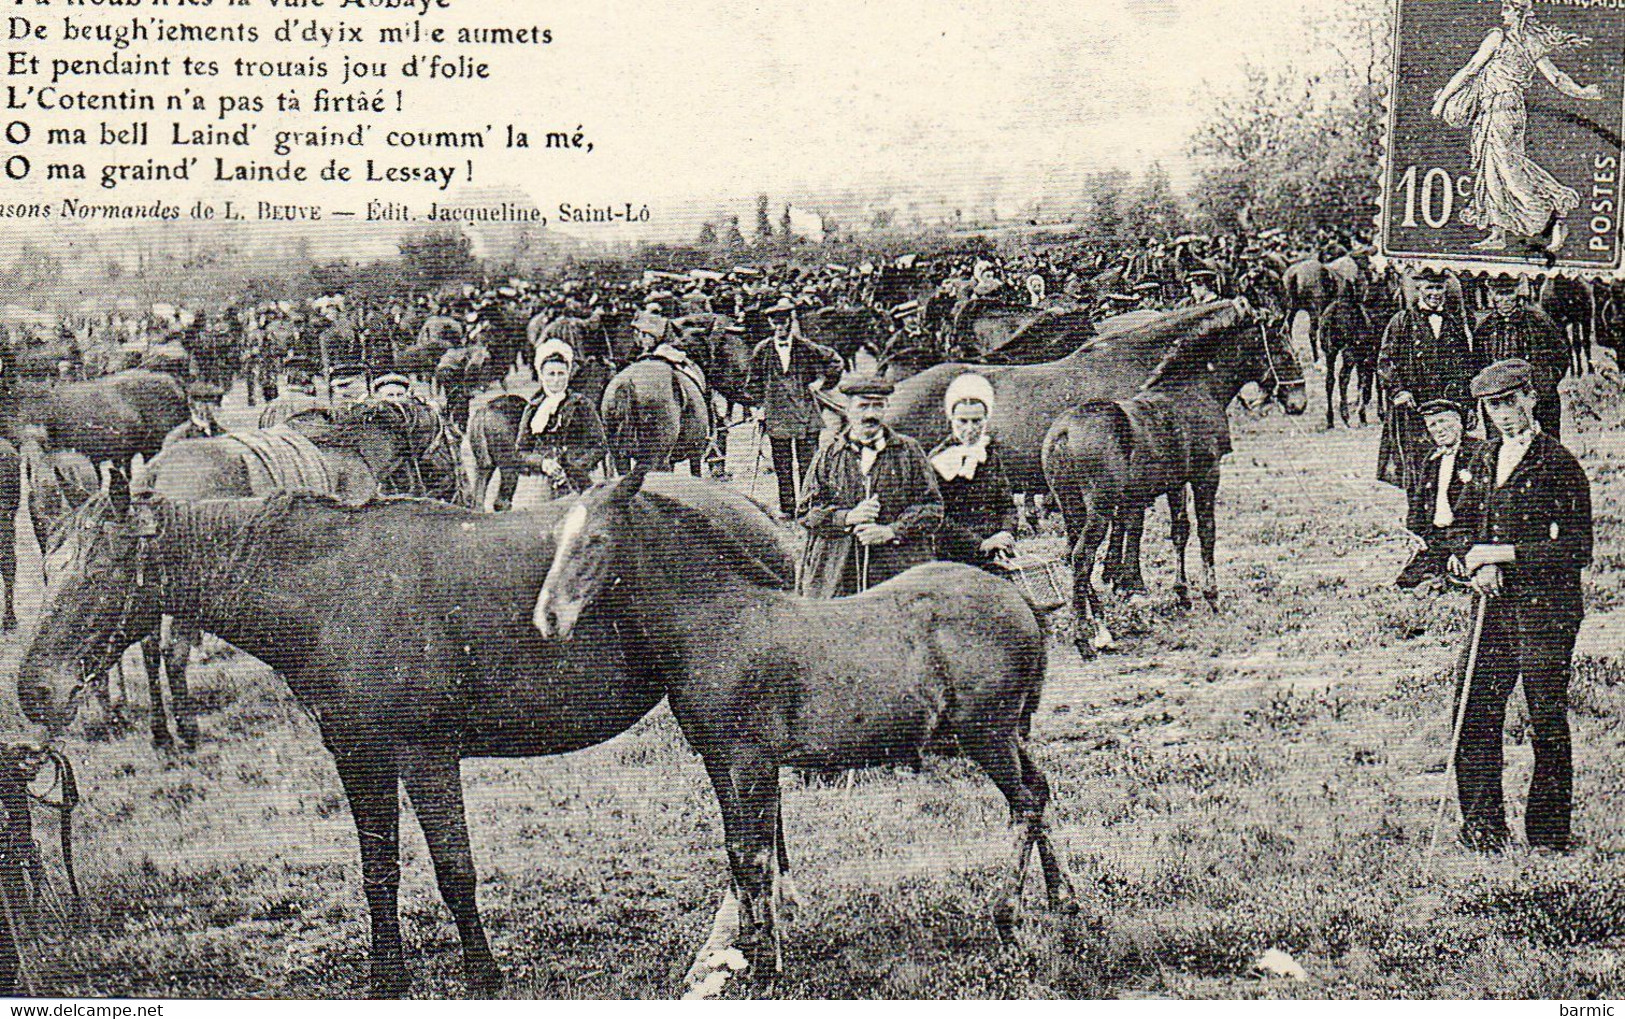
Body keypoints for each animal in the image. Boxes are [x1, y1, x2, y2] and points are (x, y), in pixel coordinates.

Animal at [12, 477, 796, 994]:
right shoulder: (357, 758)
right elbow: (378, 872)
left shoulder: (425, 756)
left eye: (106, 568)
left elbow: (453, 870)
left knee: (752, 824)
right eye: (51, 566)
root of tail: (753, 512)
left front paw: (483, 975)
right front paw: (386, 975)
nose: (36, 690)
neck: (329, 591)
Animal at [526, 474, 1072, 994]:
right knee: (1040, 791)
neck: (722, 625)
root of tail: (1021, 601)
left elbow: (756, 853)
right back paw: (1062, 896)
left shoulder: (752, 762)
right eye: (558, 538)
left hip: (986, 734)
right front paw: (745, 948)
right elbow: (735, 847)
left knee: (1024, 803)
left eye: (596, 539)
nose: (548, 618)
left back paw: (1007, 917)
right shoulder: (717, 759)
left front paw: (768, 963)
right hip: (1009, 733)